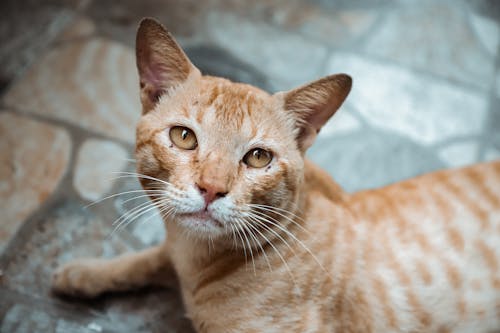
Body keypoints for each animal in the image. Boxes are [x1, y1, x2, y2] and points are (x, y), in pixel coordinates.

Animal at [51, 18, 500, 332]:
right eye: (184, 137)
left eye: (257, 158)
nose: (211, 189)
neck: (198, 259)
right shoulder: (174, 250)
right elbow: (146, 258)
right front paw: (85, 272)